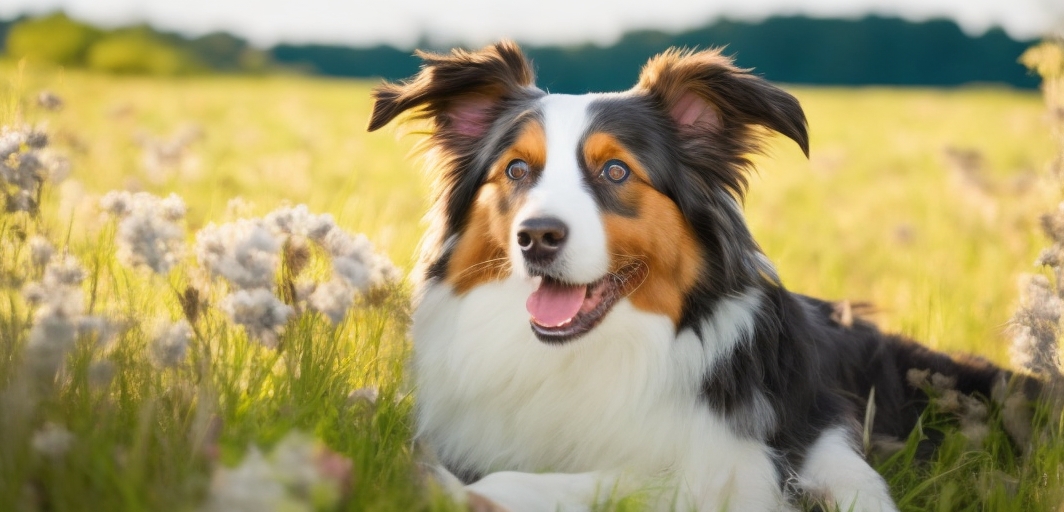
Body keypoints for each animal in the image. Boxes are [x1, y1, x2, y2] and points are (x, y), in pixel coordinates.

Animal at [370, 40, 1025, 510]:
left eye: (615, 171)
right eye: (515, 169)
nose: (537, 237)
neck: (591, 354)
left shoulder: (750, 456)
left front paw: (452, 491)